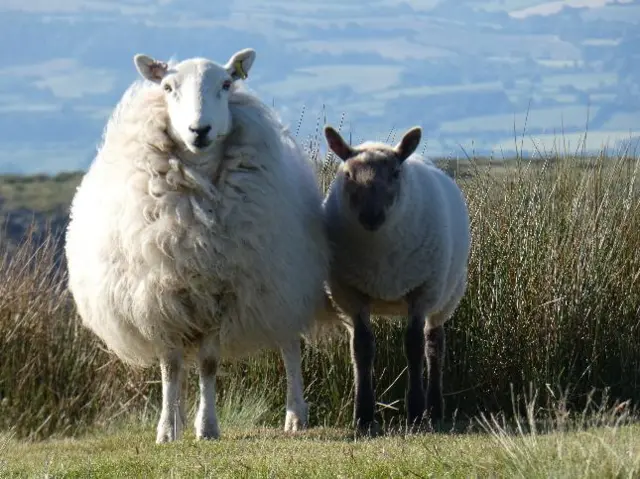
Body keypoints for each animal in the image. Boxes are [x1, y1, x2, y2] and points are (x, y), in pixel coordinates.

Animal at [65, 47, 330, 442]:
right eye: (167, 87)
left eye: (226, 84)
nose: (199, 130)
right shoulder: (160, 299)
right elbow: (170, 368)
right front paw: (166, 429)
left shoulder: (222, 296)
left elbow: (207, 364)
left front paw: (207, 427)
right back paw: (177, 418)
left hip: (282, 287)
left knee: (289, 348)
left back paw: (295, 415)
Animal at [322, 125, 472, 434]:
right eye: (348, 174)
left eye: (394, 173)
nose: (371, 216)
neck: (379, 248)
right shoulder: (350, 294)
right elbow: (362, 347)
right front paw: (363, 415)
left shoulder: (421, 291)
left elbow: (413, 346)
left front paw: (414, 411)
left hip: (446, 295)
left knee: (434, 343)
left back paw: (434, 408)